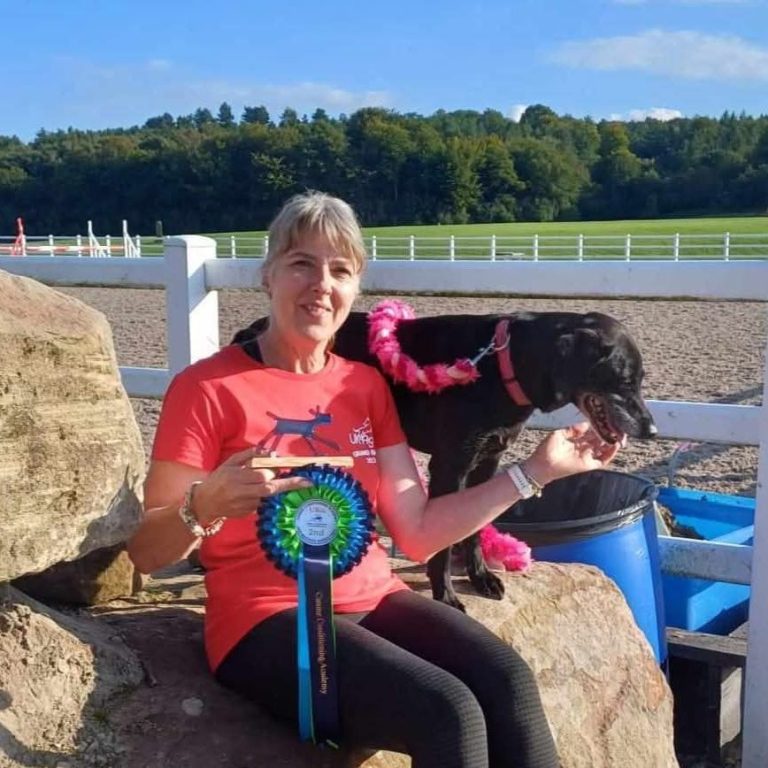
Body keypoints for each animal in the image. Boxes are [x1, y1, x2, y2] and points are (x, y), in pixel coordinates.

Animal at [233, 309, 657, 611]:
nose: (651, 430)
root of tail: (253, 328)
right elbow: (443, 545)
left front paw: (481, 578)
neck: (503, 365)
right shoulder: (451, 464)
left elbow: (473, 528)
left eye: (640, 381)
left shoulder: (487, 460)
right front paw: (446, 594)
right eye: (623, 381)